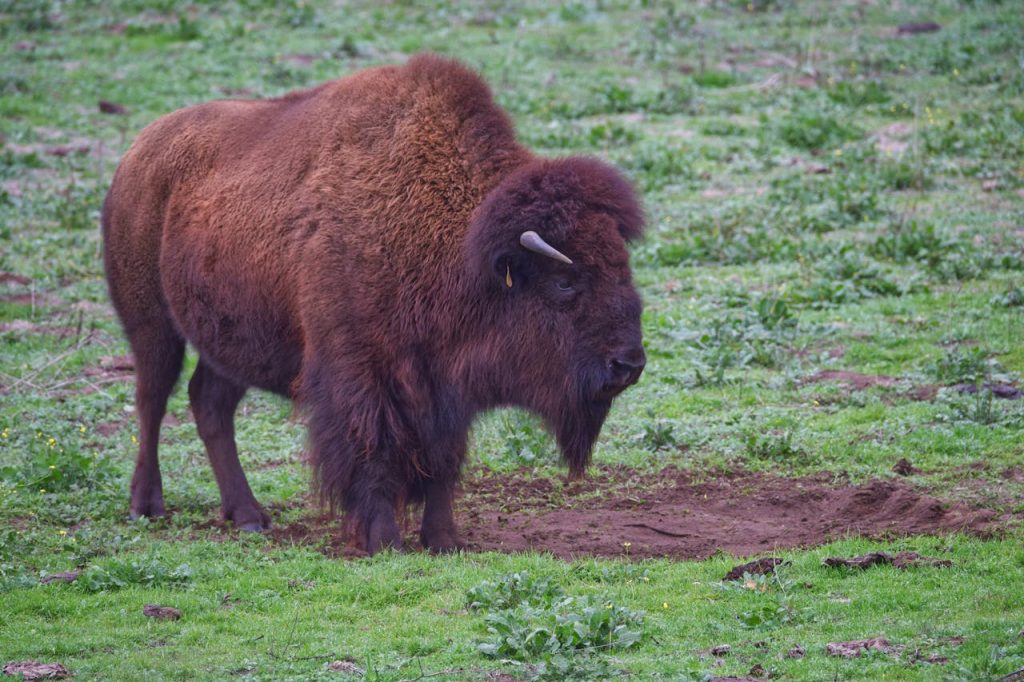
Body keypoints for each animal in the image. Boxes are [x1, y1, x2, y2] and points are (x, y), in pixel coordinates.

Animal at [102, 54, 645, 554]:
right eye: (565, 283)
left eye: (623, 266)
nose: (629, 364)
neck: (461, 248)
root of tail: (136, 154)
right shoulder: (362, 375)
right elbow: (375, 454)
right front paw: (383, 540)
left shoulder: (444, 389)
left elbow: (442, 461)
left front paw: (444, 540)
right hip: (151, 323)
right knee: (152, 399)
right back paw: (146, 505)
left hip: (230, 337)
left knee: (210, 401)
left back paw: (249, 515)